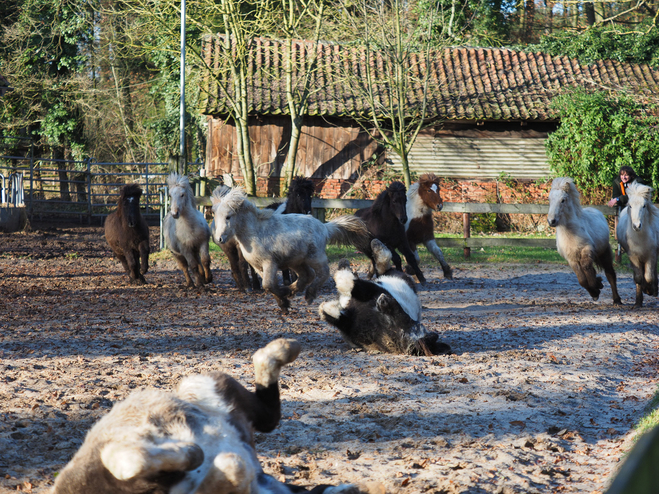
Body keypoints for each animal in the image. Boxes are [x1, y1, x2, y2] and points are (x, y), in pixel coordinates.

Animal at [215, 187, 374, 310]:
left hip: (315, 257)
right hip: (296, 261)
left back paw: (309, 295)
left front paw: (284, 302)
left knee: (323, 273)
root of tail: (324, 227)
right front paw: (283, 301)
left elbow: (268, 284)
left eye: (228, 217)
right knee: (307, 275)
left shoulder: (269, 263)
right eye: (216, 218)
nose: (219, 239)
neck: (256, 232)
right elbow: (269, 285)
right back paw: (290, 291)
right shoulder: (258, 267)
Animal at [320, 238, 454, 356]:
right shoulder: (348, 322)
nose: (383, 298)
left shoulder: (368, 290)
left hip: (384, 279)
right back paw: (375, 244)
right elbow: (333, 314)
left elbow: (348, 283)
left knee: (384, 264)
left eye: (404, 318)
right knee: (383, 267)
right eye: (407, 318)